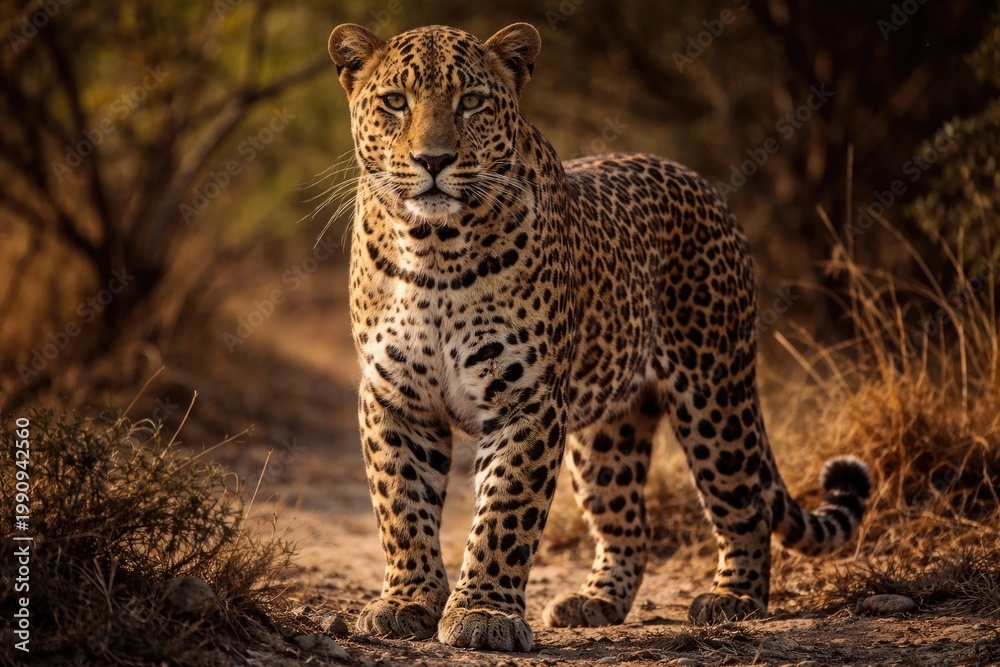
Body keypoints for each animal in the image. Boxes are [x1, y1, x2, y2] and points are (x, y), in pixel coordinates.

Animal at [326, 21, 871, 652]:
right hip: (610, 432)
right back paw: (595, 602)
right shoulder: (395, 399)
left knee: (745, 501)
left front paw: (483, 614)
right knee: (629, 523)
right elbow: (401, 506)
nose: (433, 159)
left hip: (714, 391)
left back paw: (733, 597)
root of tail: (701, 183)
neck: (433, 244)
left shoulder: (527, 400)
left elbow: (504, 513)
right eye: (395, 101)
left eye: (472, 102)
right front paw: (407, 602)